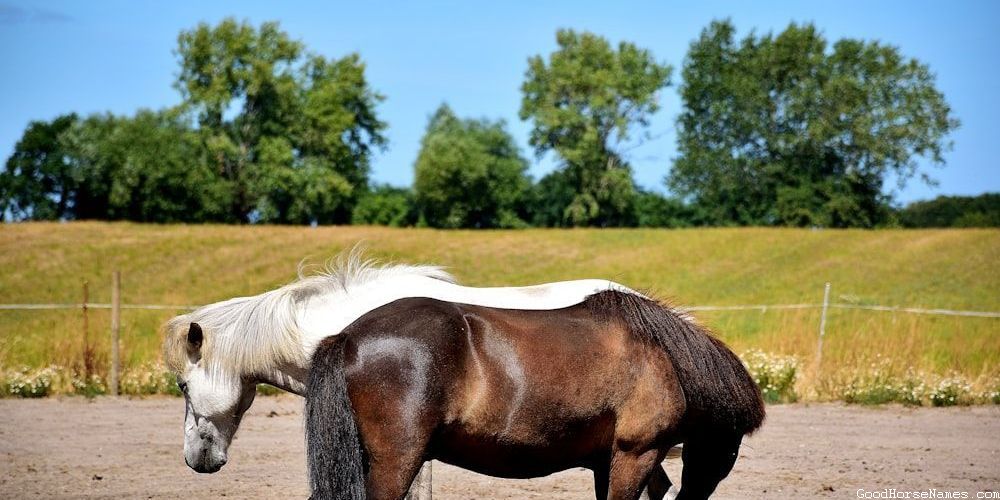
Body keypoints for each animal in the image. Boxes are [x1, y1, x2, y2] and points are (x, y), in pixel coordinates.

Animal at [305, 291, 765, 500]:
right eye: (731, 449)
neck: (664, 359)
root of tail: (347, 336)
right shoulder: (637, 454)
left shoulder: (608, 462)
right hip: (396, 462)